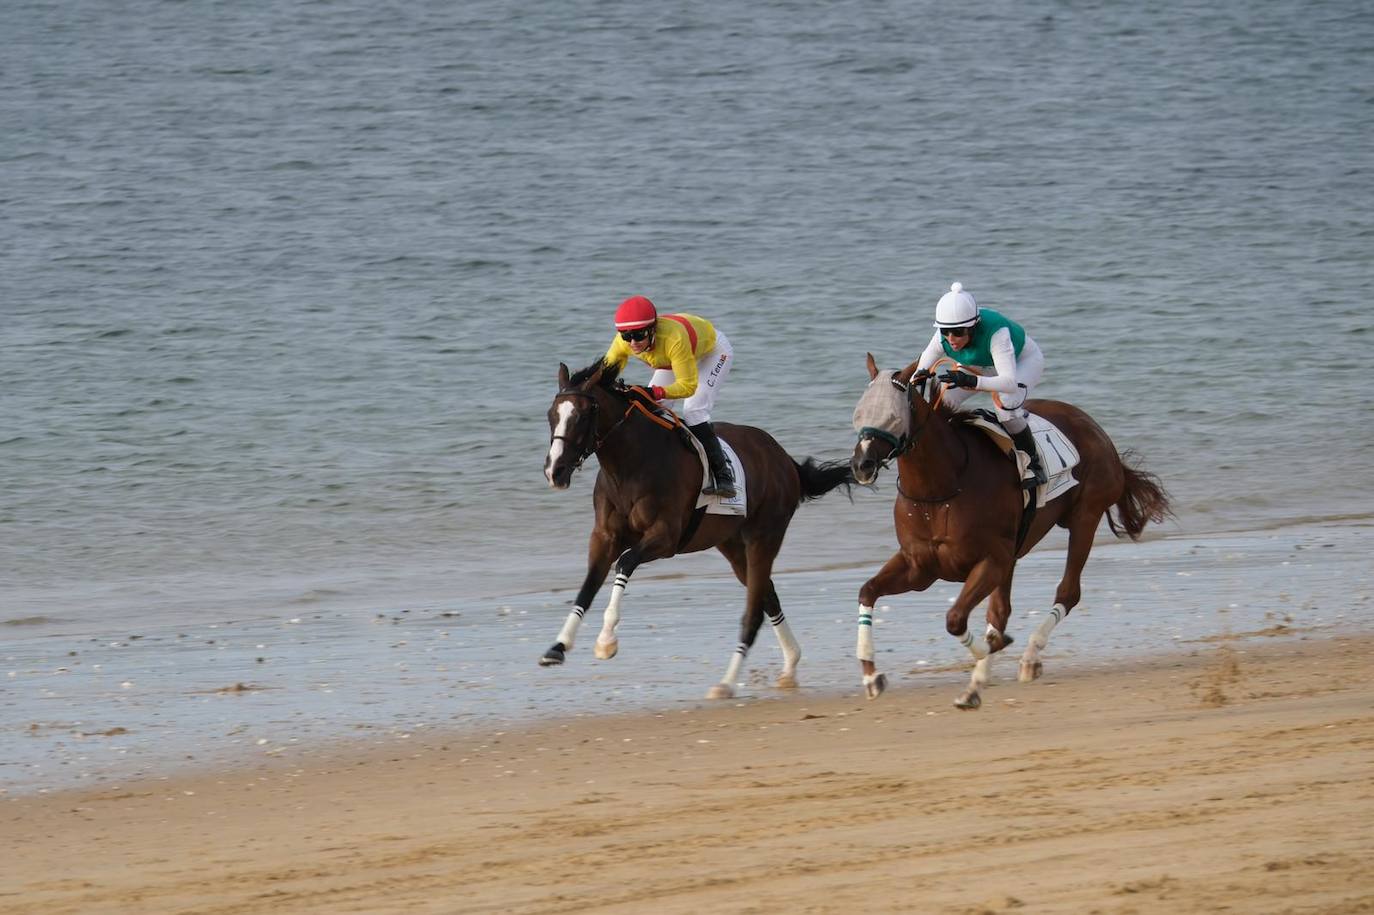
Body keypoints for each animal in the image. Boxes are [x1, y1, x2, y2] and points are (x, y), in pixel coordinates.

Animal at [541, 358, 855, 699]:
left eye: (583, 416)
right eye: (551, 415)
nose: (555, 471)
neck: (630, 466)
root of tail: (784, 458)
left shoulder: (665, 538)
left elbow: (624, 563)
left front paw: (606, 641)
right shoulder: (604, 537)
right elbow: (586, 588)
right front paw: (557, 647)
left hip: (765, 536)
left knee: (753, 611)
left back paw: (726, 683)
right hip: (732, 544)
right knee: (768, 597)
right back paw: (789, 667)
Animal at [849, 352, 1171, 708]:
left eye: (893, 416)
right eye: (858, 412)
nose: (861, 465)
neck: (941, 489)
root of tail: (1095, 428)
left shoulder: (991, 560)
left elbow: (956, 619)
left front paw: (983, 667)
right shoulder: (920, 567)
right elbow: (868, 591)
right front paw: (871, 675)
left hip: (1085, 517)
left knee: (1068, 592)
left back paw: (1029, 657)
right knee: (1002, 609)